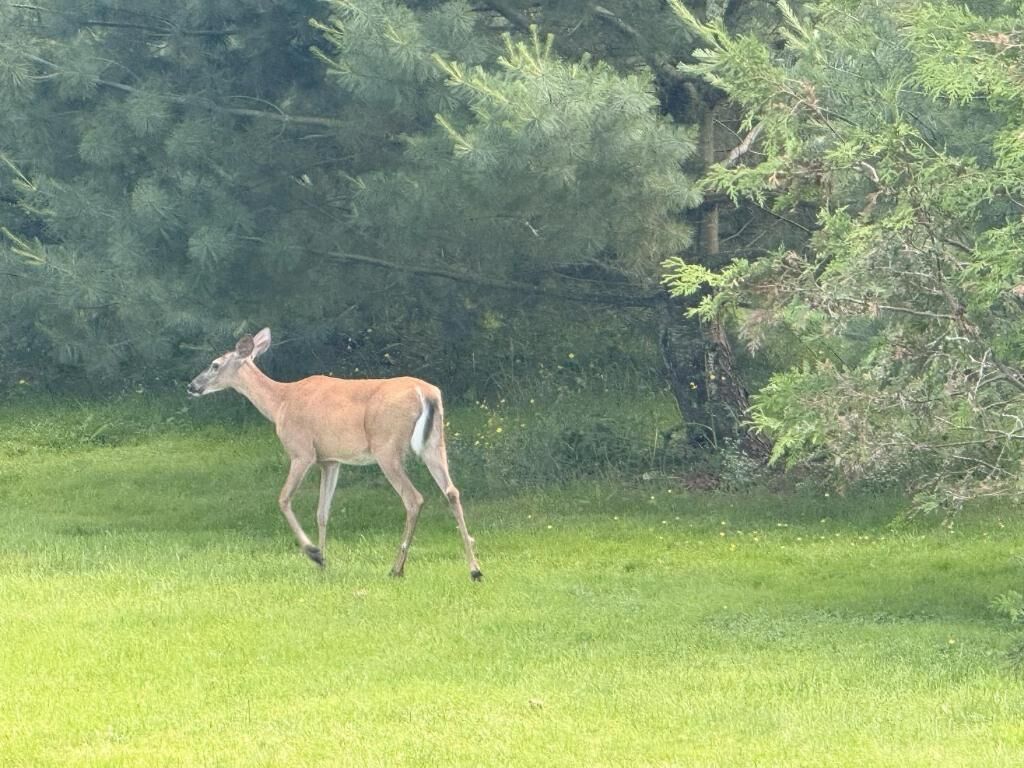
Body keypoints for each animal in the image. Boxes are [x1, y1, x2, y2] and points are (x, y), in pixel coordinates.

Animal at [186, 328, 482, 581]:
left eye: (215, 364)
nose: (192, 386)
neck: (280, 402)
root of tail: (426, 393)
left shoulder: (302, 451)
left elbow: (283, 499)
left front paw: (315, 555)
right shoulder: (330, 460)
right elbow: (322, 512)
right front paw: (323, 563)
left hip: (386, 447)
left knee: (414, 498)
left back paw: (397, 568)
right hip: (435, 443)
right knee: (452, 491)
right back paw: (475, 569)